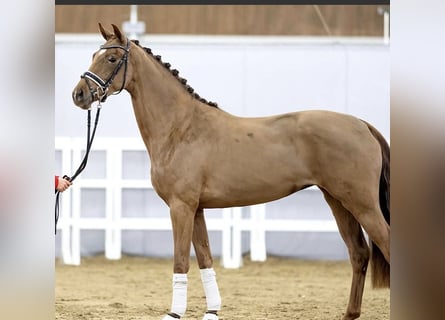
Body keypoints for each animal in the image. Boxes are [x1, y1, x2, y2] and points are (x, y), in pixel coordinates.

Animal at [71, 24, 386, 320]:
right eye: (94, 54)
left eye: (111, 58)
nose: (79, 94)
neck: (181, 128)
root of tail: (361, 124)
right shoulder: (197, 209)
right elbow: (205, 259)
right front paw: (212, 311)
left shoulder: (181, 207)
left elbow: (181, 260)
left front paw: (174, 313)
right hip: (339, 202)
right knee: (359, 253)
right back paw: (350, 313)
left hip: (362, 204)